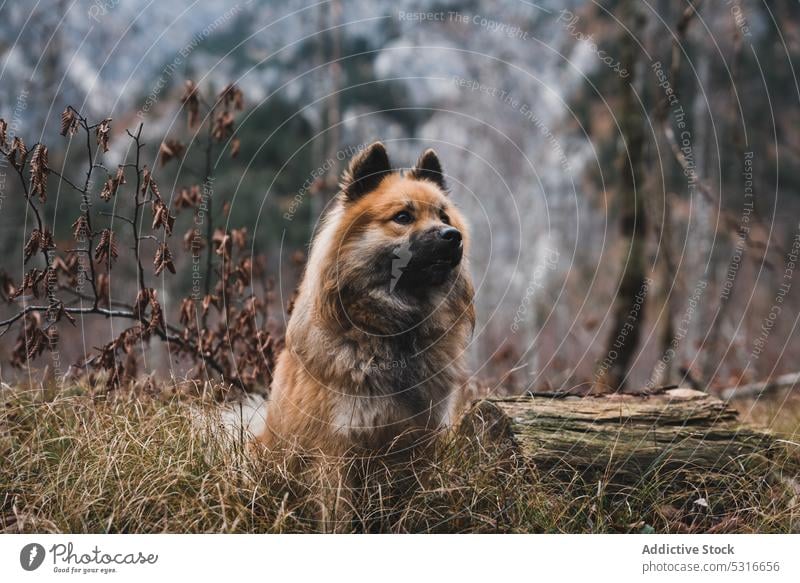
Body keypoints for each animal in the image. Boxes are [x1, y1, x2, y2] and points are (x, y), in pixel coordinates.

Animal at [258, 143, 476, 460]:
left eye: (443, 217)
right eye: (403, 217)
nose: (453, 236)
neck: (395, 328)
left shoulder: (425, 434)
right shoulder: (338, 440)